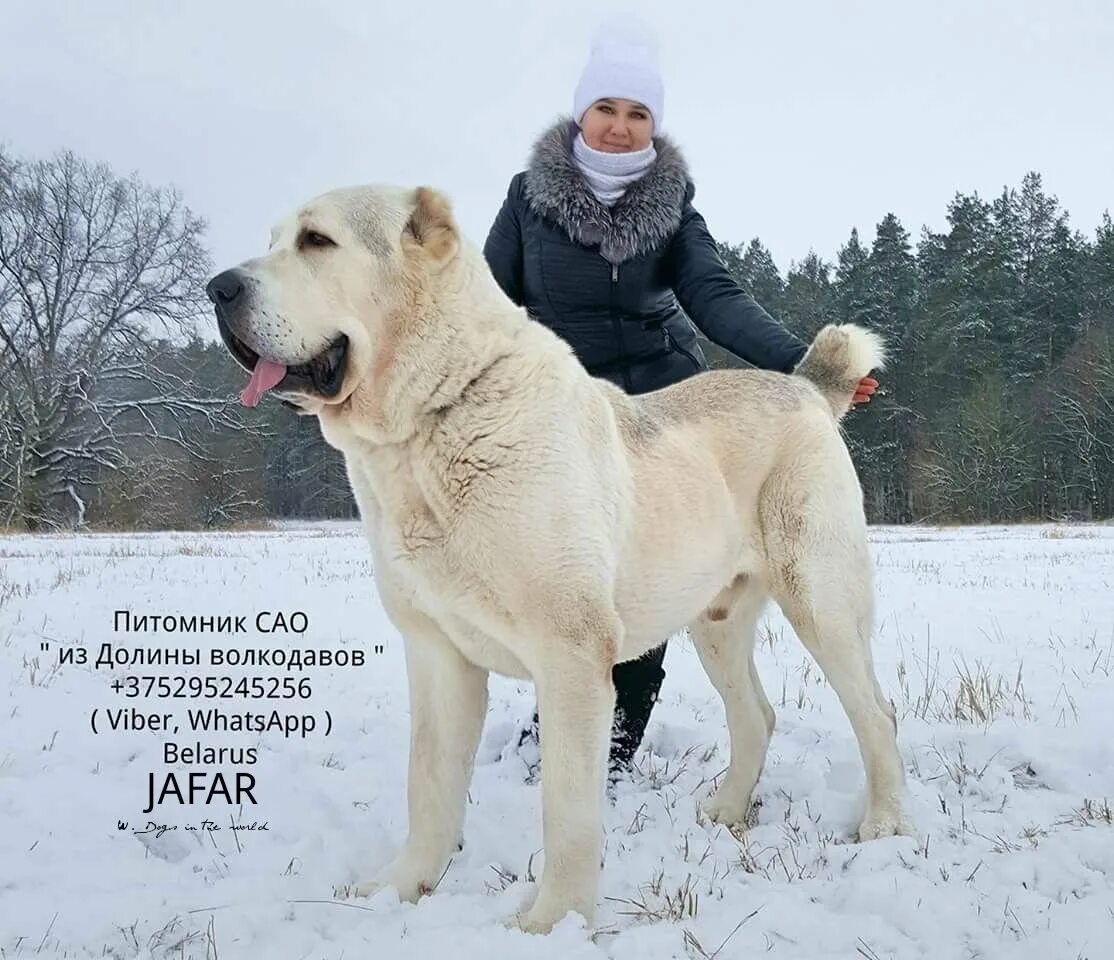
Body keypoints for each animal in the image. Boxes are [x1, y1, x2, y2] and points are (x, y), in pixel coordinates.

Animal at [209, 183, 913, 935]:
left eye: (317, 241)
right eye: (274, 240)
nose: (217, 288)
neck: (434, 417)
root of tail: (804, 388)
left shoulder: (571, 657)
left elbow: (568, 808)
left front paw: (553, 923)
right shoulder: (436, 654)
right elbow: (427, 786)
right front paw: (399, 889)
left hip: (822, 601)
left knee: (876, 713)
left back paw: (884, 824)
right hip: (715, 622)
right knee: (756, 715)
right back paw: (727, 812)